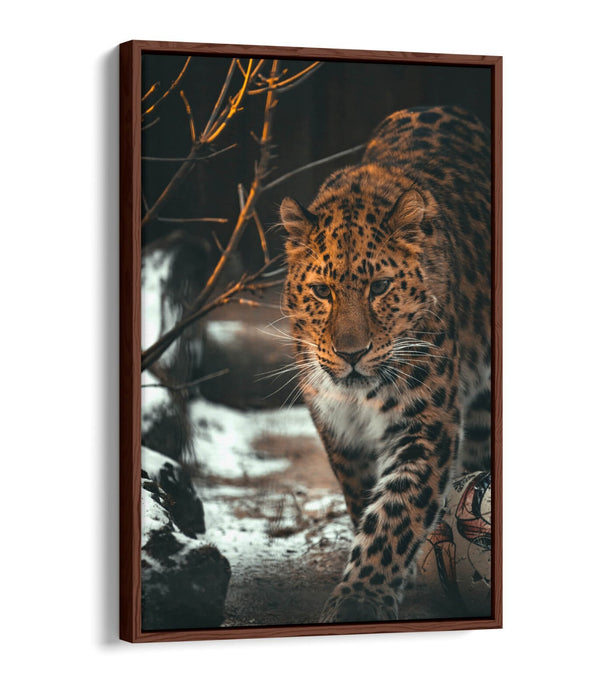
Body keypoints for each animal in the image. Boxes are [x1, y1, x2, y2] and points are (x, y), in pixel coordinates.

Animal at [279, 106, 492, 623]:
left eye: (379, 287)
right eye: (322, 291)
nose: (351, 353)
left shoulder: (426, 420)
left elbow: (398, 509)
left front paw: (362, 597)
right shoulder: (337, 425)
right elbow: (364, 498)